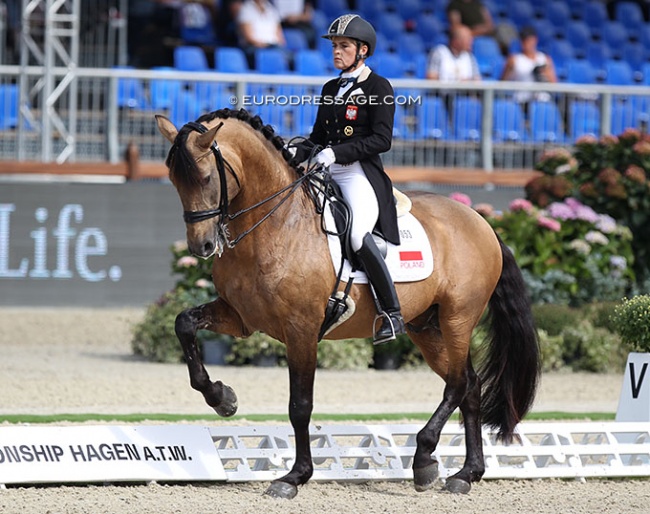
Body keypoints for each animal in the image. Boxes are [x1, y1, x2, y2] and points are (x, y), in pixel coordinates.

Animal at [154, 107, 540, 496]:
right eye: (173, 179)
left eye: (205, 178)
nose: (201, 246)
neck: (276, 224)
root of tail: (483, 224)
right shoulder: (241, 317)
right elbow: (184, 322)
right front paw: (222, 398)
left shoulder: (302, 329)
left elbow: (300, 405)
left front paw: (295, 476)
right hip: (426, 328)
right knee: (470, 386)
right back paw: (466, 473)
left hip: (457, 318)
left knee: (458, 384)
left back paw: (424, 459)